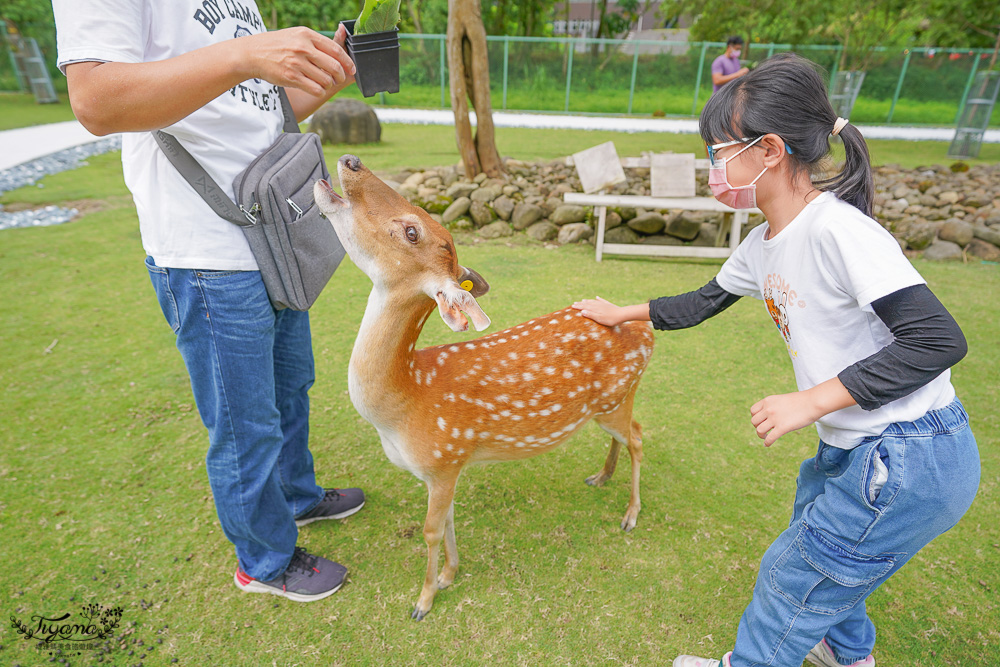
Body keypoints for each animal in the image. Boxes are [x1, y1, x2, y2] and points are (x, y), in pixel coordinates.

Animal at [314, 157, 656, 620]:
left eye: (411, 231)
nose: (351, 163)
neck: (403, 405)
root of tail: (649, 330)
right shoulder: (445, 468)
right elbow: (448, 521)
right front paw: (448, 575)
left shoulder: (444, 457)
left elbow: (430, 530)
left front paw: (424, 600)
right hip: (610, 404)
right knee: (626, 435)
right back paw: (601, 476)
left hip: (618, 396)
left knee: (638, 436)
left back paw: (630, 515)